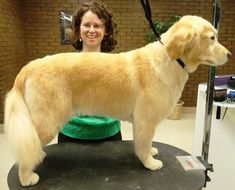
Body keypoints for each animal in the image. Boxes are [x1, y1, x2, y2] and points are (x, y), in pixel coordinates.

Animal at [4, 15, 231, 186]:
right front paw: (150, 162)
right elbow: (143, 146)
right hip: (48, 119)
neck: (171, 59)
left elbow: (147, 144)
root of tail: (29, 67)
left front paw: (152, 152)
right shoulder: (145, 121)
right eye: (212, 37)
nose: (229, 54)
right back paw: (27, 177)